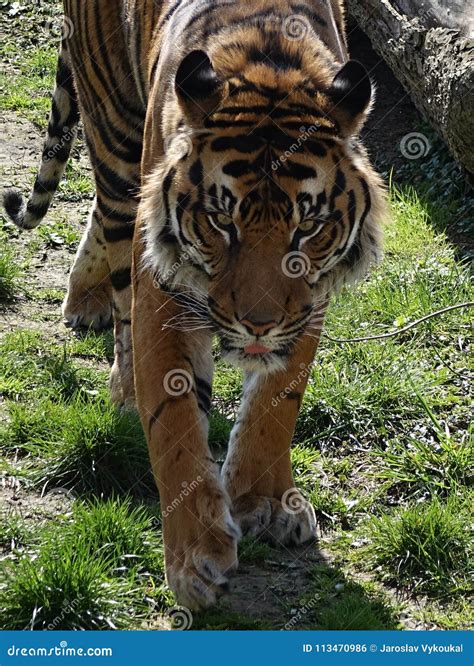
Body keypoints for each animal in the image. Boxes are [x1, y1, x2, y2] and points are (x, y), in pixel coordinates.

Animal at [4, 0, 387, 610]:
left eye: (307, 229)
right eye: (221, 221)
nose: (257, 325)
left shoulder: (308, 301)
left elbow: (276, 404)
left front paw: (264, 502)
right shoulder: (167, 288)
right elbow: (175, 423)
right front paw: (195, 560)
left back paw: (85, 296)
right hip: (116, 145)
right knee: (115, 253)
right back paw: (119, 372)